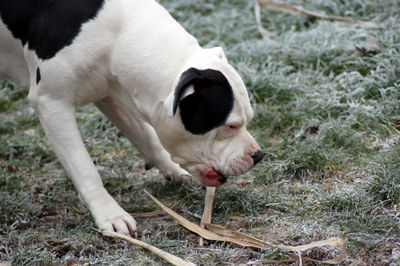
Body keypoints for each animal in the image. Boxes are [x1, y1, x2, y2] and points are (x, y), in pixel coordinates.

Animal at [0, 0, 264, 235]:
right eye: (231, 126)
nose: (258, 155)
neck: (116, 37)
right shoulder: (52, 103)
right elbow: (84, 167)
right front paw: (110, 215)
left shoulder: (112, 93)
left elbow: (146, 136)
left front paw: (172, 169)